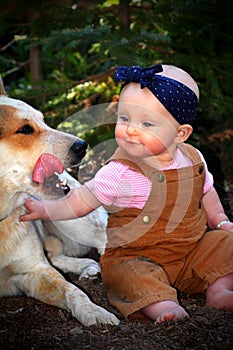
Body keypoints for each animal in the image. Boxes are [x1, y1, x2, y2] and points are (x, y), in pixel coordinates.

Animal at [0, 76, 119, 326]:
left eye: (43, 120)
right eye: (25, 129)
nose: (83, 146)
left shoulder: (34, 269)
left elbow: (72, 291)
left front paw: (94, 311)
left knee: (103, 238)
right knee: (56, 254)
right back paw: (86, 267)